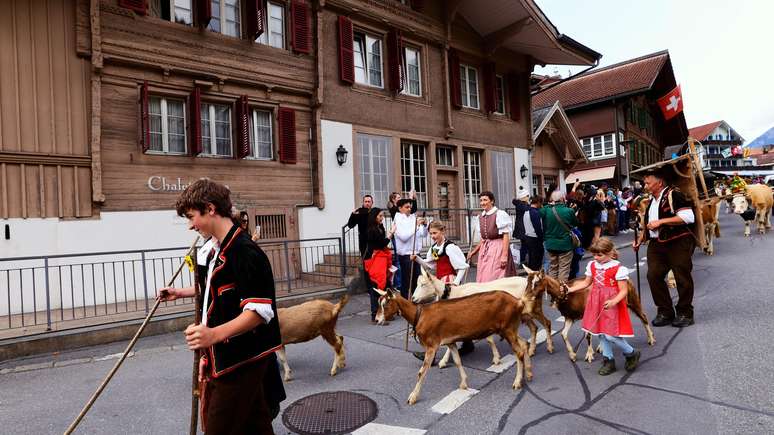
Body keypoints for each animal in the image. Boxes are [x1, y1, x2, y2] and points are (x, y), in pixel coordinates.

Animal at [376, 290, 532, 406]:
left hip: (508, 329)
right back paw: (529, 374)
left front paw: (412, 397)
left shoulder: (431, 345)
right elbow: (457, 361)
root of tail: (518, 301)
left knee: (518, 352)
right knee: (525, 344)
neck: (419, 315)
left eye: (386, 304)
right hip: (510, 329)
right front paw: (463, 384)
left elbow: (422, 372)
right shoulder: (450, 342)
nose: (377, 320)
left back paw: (517, 382)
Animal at [524, 270, 656, 364]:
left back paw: (651, 339)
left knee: (643, 316)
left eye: (536, 283)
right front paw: (573, 355)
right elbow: (564, 334)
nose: (525, 298)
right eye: (527, 282)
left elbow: (588, 334)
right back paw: (601, 347)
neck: (569, 294)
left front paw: (589, 355)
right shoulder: (570, 316)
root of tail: (626, 279)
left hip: (633, 300)